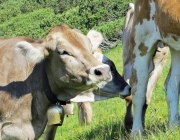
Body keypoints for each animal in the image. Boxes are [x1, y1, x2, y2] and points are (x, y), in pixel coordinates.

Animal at [122, 2, 169, 131]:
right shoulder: (130, 65)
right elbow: (129, 95)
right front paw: (128, 123)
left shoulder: (158, 67)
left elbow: (146, 98)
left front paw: (140, 124)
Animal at [129, 0, 180, 137]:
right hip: (141, 42)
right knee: (138, 89)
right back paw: (137, 132)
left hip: (175, 46)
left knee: (172, 84)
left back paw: (174, 126)